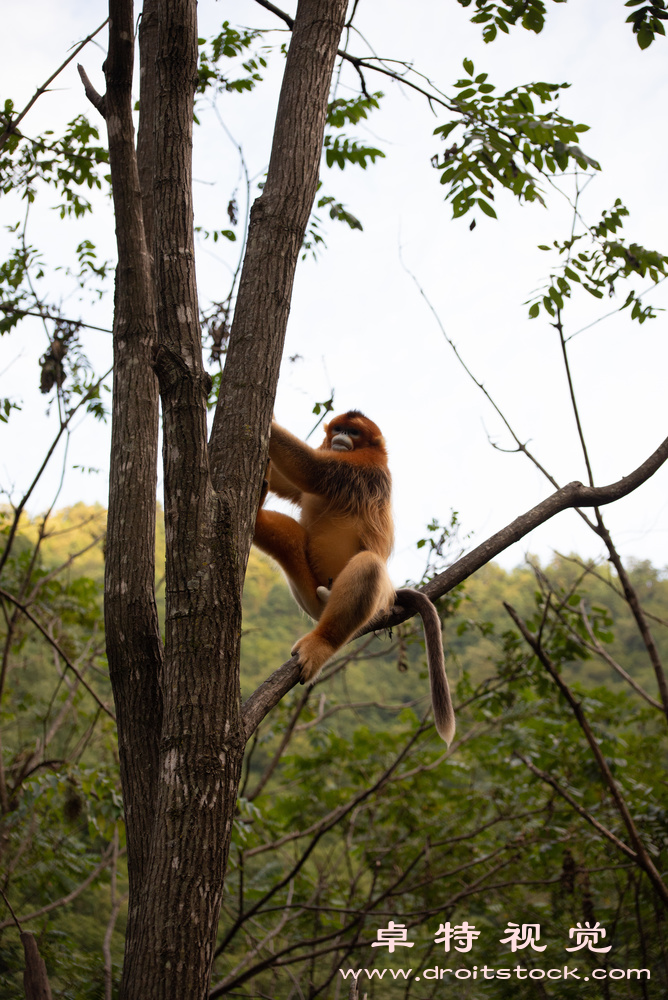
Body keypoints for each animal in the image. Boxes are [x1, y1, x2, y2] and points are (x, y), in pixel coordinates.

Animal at [253, 408, 456, 744]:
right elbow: (291, 485)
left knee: (369, 565)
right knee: (292, 537)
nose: (340, 438)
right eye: (339, 429)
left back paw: (322, 643)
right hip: (311, 593)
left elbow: (311, 470)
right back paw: (255, 514)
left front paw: (269, 421)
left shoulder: (363, 470)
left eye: (354, 432)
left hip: (373, 603)